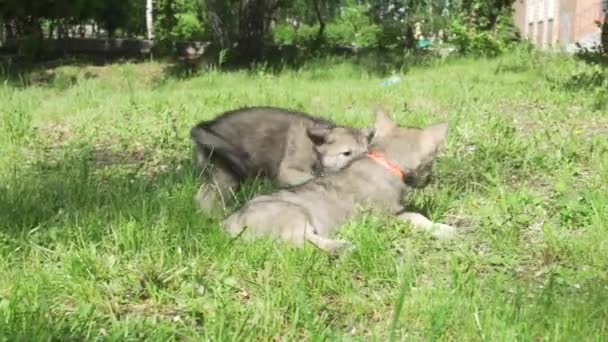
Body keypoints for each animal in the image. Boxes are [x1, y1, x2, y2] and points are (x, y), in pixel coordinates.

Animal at [190, 107, 370, 214]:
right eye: (347, 153)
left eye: (366, 151)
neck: (314, 147)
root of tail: (207, 125)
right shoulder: (287, 171)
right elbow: (312, 177)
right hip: (226, 174)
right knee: (205, 198)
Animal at [221, 107, 454, 254]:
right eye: (431, 162)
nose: (430, 180)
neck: (384, 162)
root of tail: (228, 223)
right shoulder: (387, 216)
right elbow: (416, 217)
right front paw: (445, 230)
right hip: (293, 214)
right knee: (300, 242)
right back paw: (339, 247)